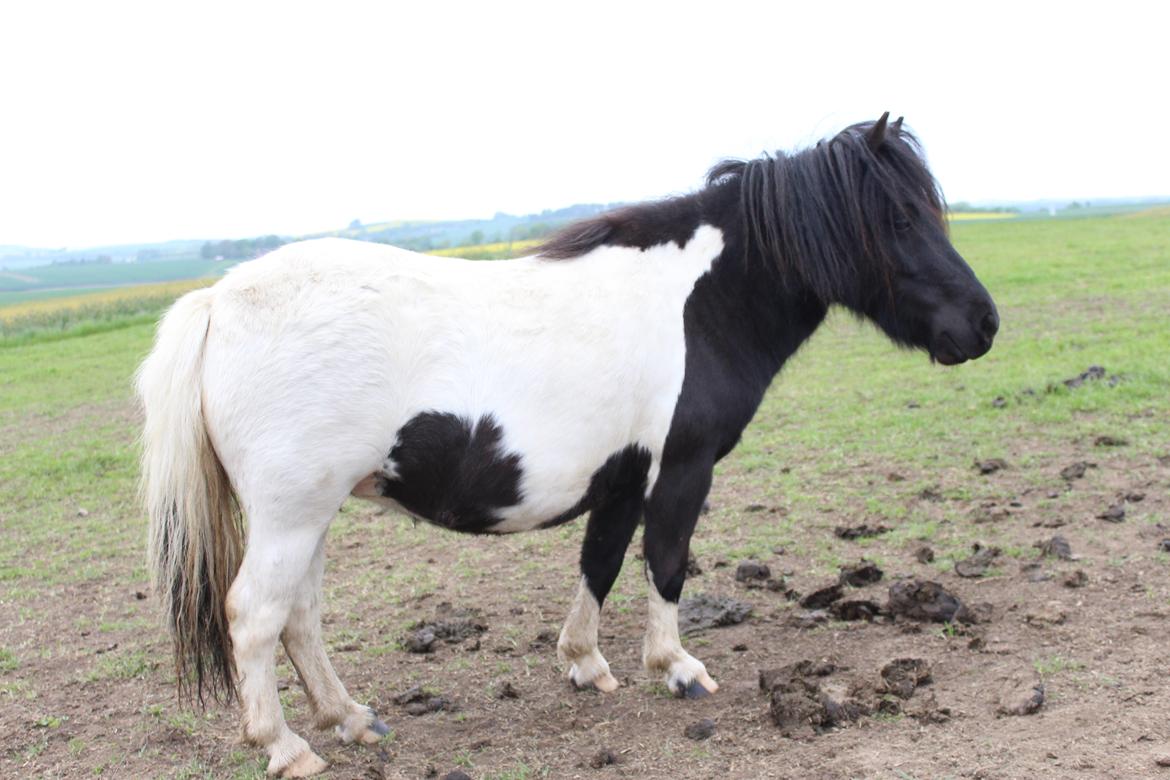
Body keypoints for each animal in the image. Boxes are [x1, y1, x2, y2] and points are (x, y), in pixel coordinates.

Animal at [134, 114, 996, 776]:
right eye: (899, 219)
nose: (983, 324)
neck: (698, 303)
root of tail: (220, 301)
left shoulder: (621, 480)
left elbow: (601, 564)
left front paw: (585, 663)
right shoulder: (680, 471)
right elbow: (667, 565)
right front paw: (676, 669)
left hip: (310, 514)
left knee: (300, 618)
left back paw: (350, 718)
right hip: (291, 515)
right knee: (255, 616)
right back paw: (286, 748)